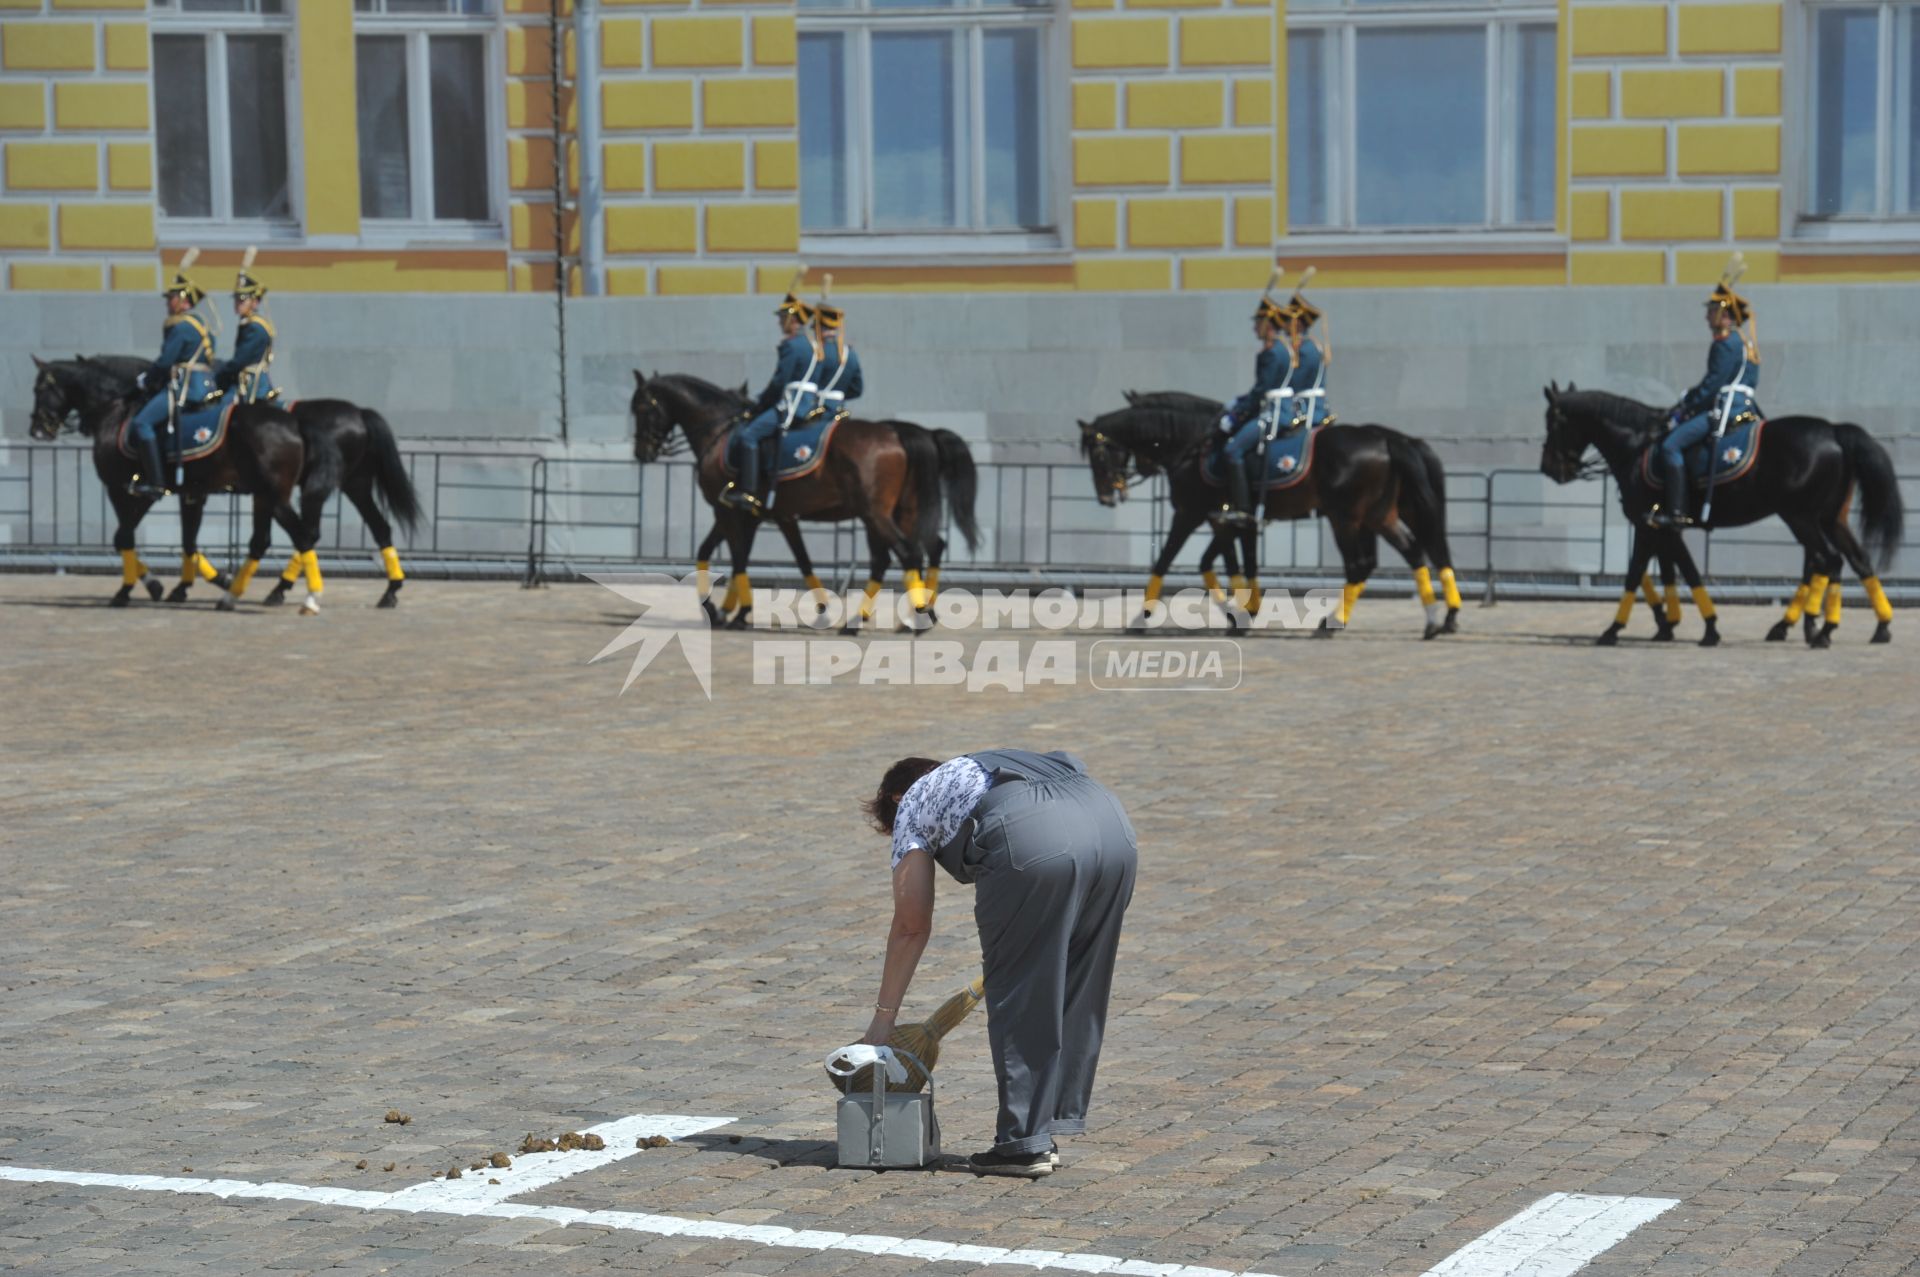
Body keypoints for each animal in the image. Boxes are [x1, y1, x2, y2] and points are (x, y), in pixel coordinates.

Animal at [629, 366, 967, 629]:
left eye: (641, 409)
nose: (641, 452)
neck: (721, 432)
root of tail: (895, 432)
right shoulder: (762, 516)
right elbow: (789, 560)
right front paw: (730, 609)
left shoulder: (729, 512)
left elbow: (736, 558)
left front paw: (729, 610)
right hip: (896, 513)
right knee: (919, 550)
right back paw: (908, 613)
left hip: (876, 515)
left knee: (905, 554)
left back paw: (900, 617)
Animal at [1075, 399, 1459, 637]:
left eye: (1098, 454)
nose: (1106, 496)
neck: (1193, 447)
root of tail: (1385, 437)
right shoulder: (1228, 521)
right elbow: (1229, 564)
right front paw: (1242, 613)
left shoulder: (1190, 515)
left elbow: (1166, 562)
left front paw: (1141, 617)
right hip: (1379, 516)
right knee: (1414, 552)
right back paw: (1433, 621)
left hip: (1345, 518)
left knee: (1360, 565)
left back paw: (1333, 622)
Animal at [1543, 384, 1904, 649]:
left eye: (1553, 422)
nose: (1548, 468)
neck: (1638, 446)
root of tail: (1832, 430)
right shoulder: (1665, 528)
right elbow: (1680, 572)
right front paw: (1693, 627)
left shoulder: (1649, 527)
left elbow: (1637, 575)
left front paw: (1614, 629)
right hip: (1829, 519)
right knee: (1855, 560)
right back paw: (1876, 626)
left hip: (1801, 517)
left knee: (1827, 561)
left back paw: (1821, 630)